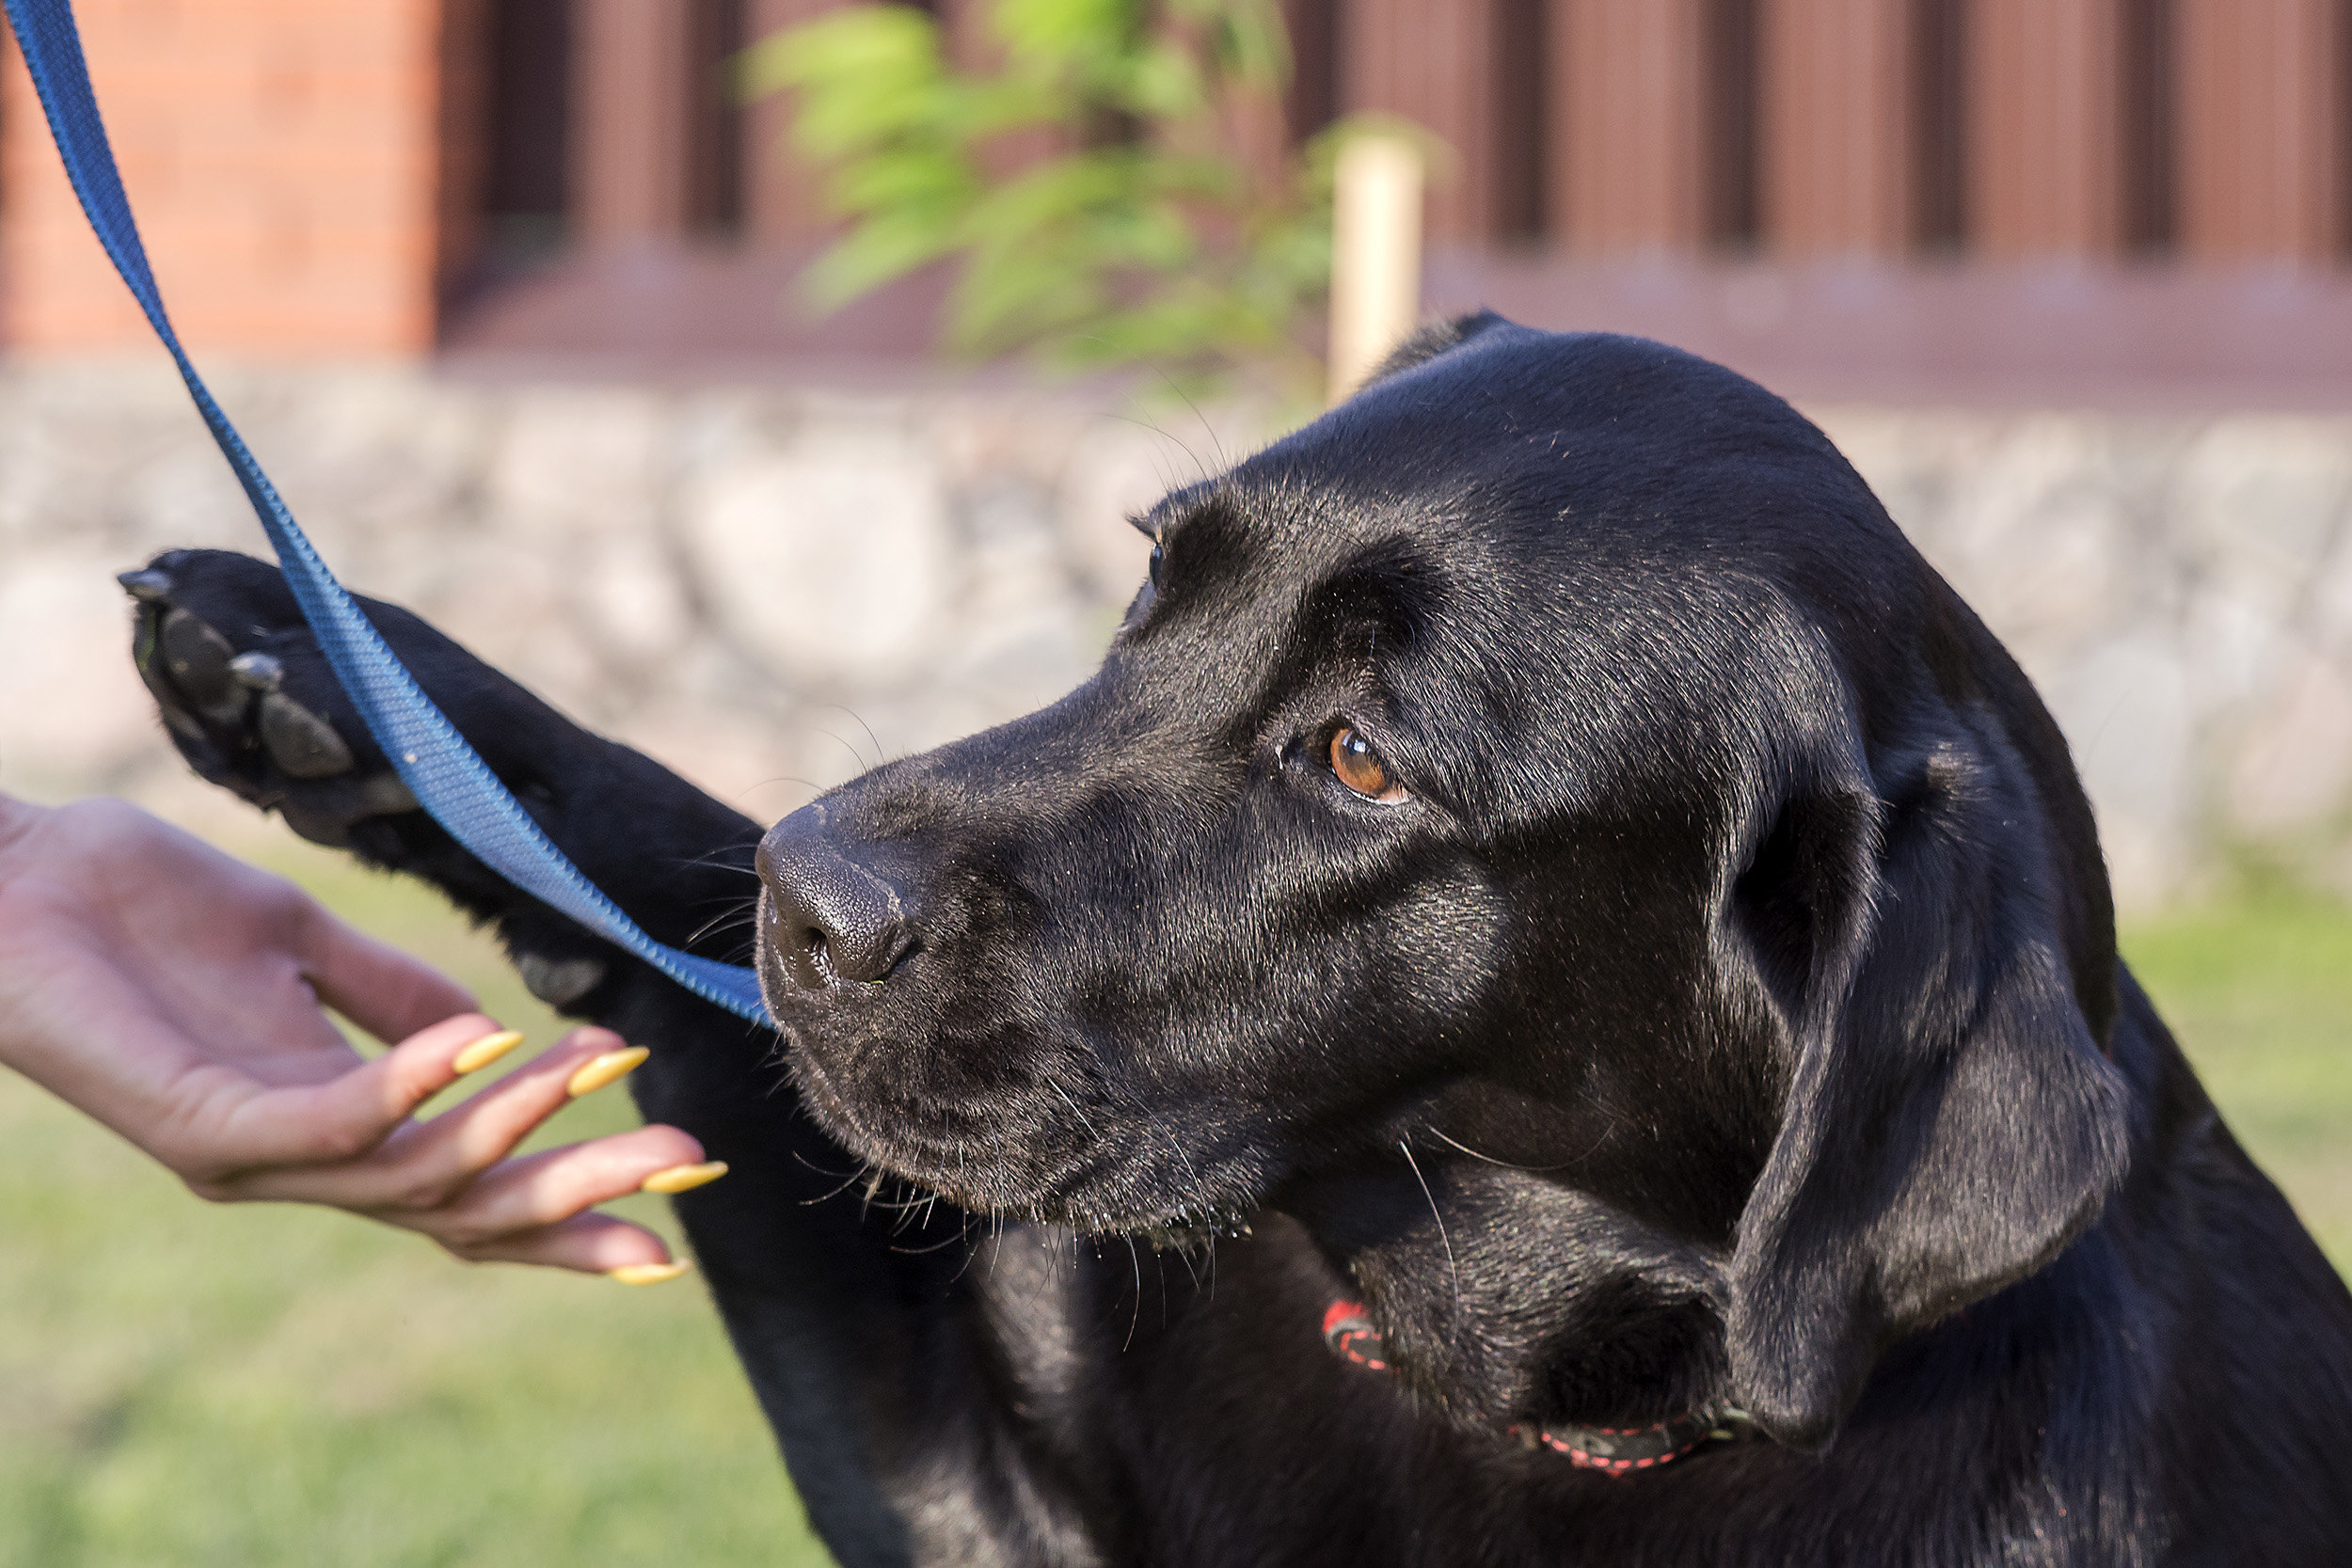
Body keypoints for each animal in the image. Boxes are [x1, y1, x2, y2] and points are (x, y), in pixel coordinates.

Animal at [123, 314, 2352, 1560]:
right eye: (1147, 592)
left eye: (1356, 757)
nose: (806, 905)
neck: (1507, 1383)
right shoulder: (963, 1476)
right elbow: (657, 828)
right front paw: (310, 657)